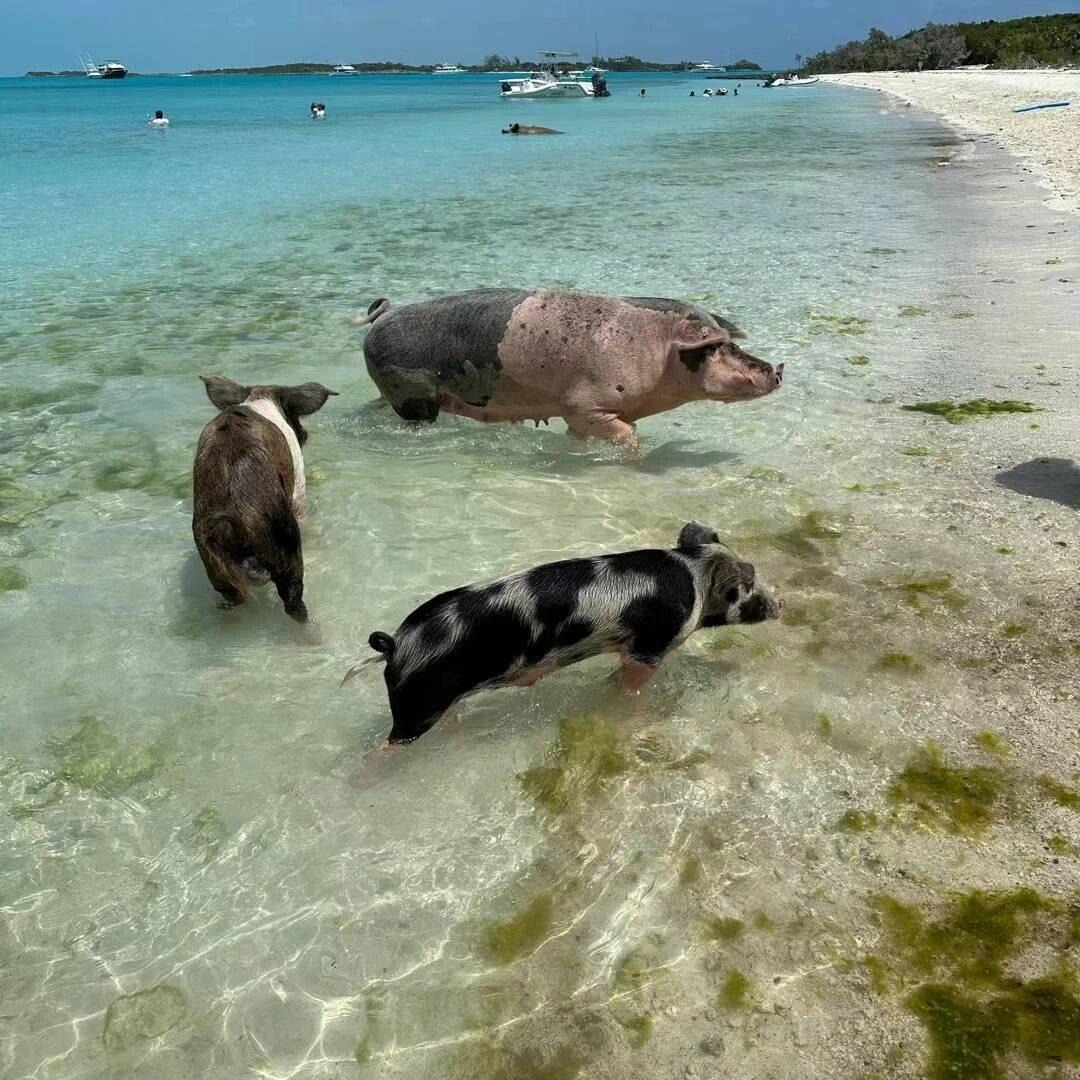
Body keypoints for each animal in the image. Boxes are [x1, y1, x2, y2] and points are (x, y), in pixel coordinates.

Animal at [192, 375, 337, 621]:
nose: (304, 434)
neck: (260, 399)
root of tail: (234, 524)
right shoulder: (298, 492)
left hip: (221, 573)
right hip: (288, 554)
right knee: (293, 604)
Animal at [346, 522, 782, 743]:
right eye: (747, 587)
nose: (781, 604)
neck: (694, 574)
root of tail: (396, 646)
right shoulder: (647, 646)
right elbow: (633, 685)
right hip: (416, 709)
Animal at [353, 289, 783, 450]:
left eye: (731, 343)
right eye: (714, 347)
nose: (777, 370)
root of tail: (383, 317)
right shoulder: (584, 404)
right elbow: (626, 435)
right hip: (411, 393)